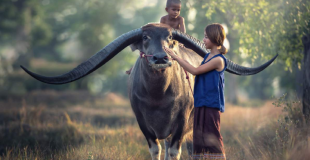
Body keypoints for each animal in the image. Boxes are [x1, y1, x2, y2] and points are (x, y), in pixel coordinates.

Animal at [22, 23, 278, 159]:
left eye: (170, 38)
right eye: (145, 37)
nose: (161, 57)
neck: (158, 97)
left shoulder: (180, 124)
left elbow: (173, 151)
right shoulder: (143, 123)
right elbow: (155, 150)